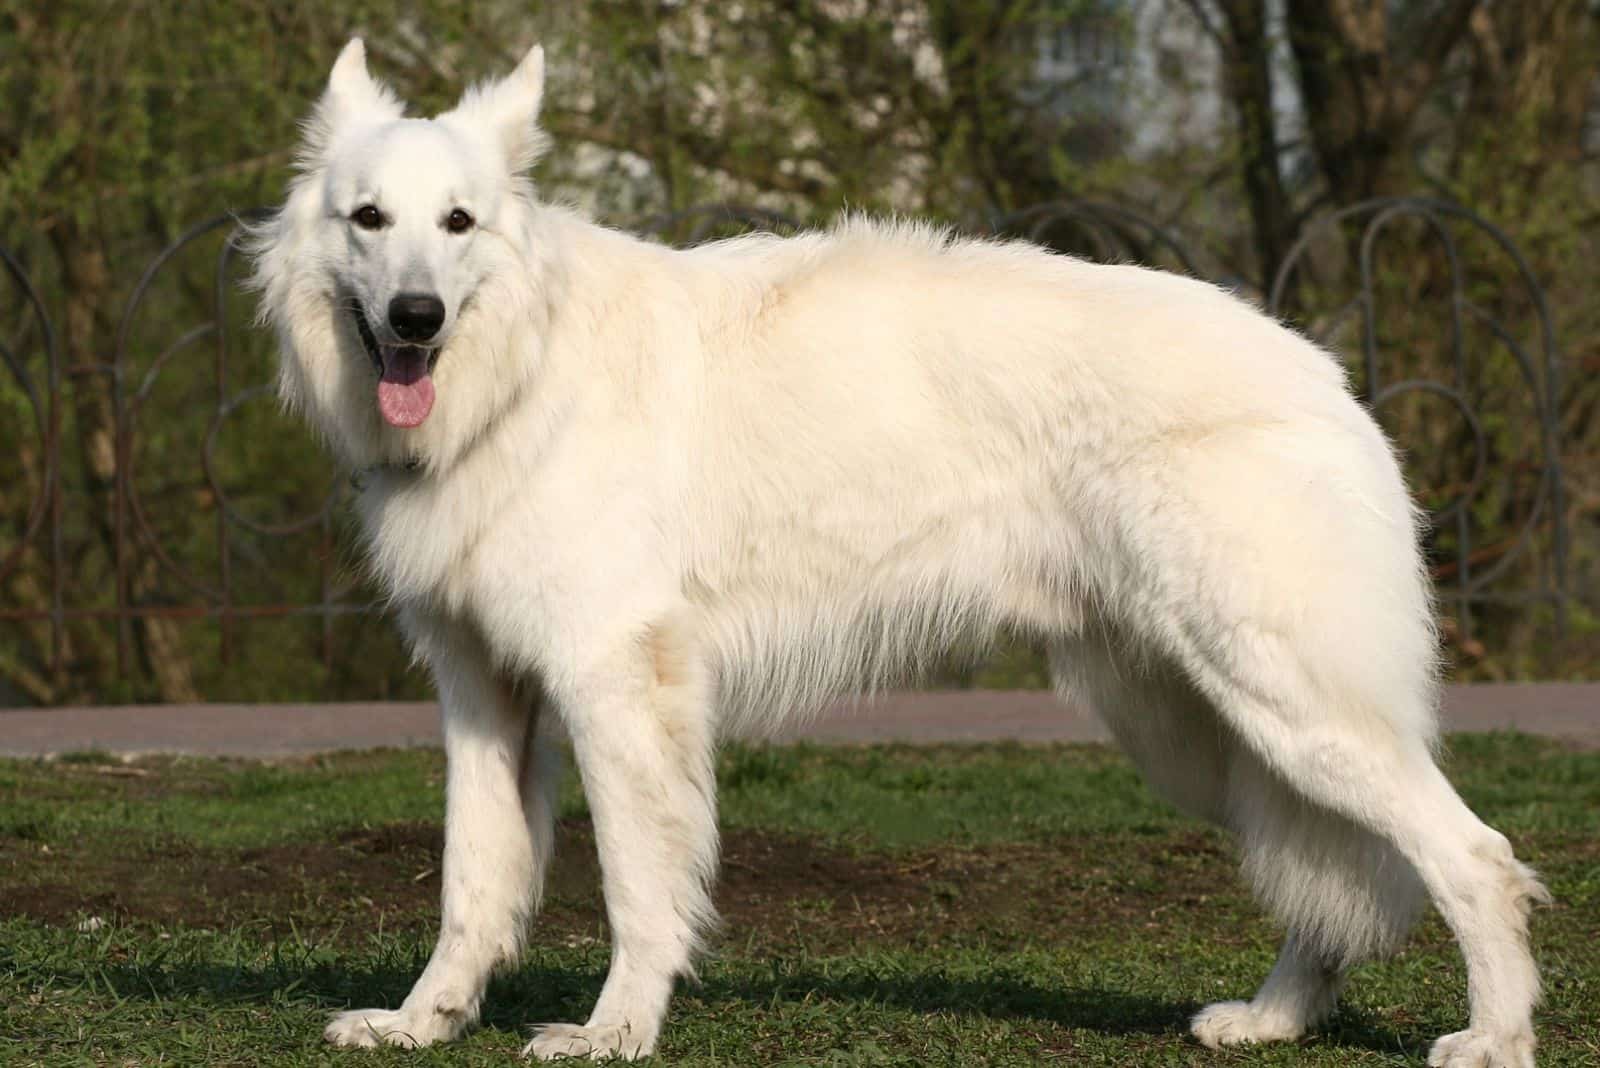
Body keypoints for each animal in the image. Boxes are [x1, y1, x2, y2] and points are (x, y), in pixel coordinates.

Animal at [252, 37, 1548, 1061]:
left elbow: (635, 887)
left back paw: (1491, 1038)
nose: (415, 320)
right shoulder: (484, 695)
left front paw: (615, 1031)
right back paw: (1274, 1020)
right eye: (369, 221)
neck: (522, 366)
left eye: (457, 225)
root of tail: (1325, 375)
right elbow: (472, 884)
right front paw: (421, 1021)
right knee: (1337, 883)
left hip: (1282, 705)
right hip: (1201, 729)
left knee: (1474, 856)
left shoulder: (617, 689)